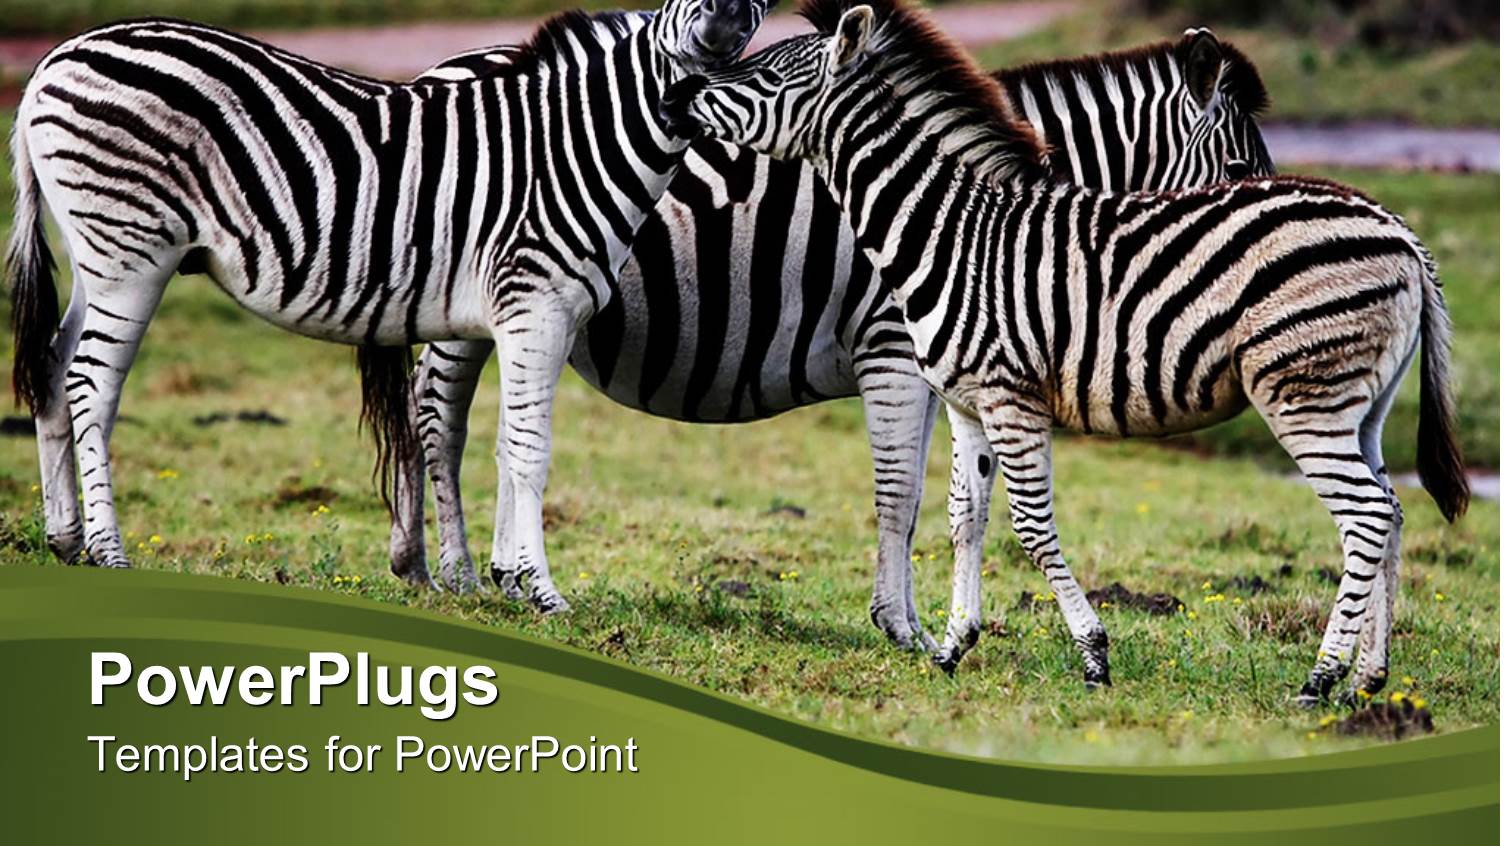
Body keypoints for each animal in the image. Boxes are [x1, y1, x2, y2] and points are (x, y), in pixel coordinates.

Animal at [6, 0, 771, 613]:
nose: (718, 20)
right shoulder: (537, 306)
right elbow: (530, 450)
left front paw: (508, 582)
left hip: (93, 254)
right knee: (91, 384)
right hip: (130, 251)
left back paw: (65, 538)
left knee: (54, 367)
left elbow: (495, 442)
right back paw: (108, 549)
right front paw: (544, 592)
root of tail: (54, 60)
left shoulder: (511, 317)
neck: (576, 146)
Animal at [391, 28, 1275, 657]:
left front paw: (939, 629)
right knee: (438, 422)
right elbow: (902, 493)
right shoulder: (894, 350)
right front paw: (902, 628)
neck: (971, 217)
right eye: (1239, 168)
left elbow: (961, 501)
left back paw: (453, 571)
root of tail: (445, 66)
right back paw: (455, 574)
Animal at [661, 0, 1469, 701]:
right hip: (1361, 405)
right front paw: (953, 647)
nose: (676, 95)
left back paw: (1319, 679)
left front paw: (1092, 652)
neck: (944, 229)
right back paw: (1368, 679)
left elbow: (1029, 522)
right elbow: (964, 515)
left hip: (1304, 395)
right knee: (1393, 511)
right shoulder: (966, 402)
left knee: (1366, 515)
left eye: (768, 77)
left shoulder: (1008, 396)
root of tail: (1400, 233)